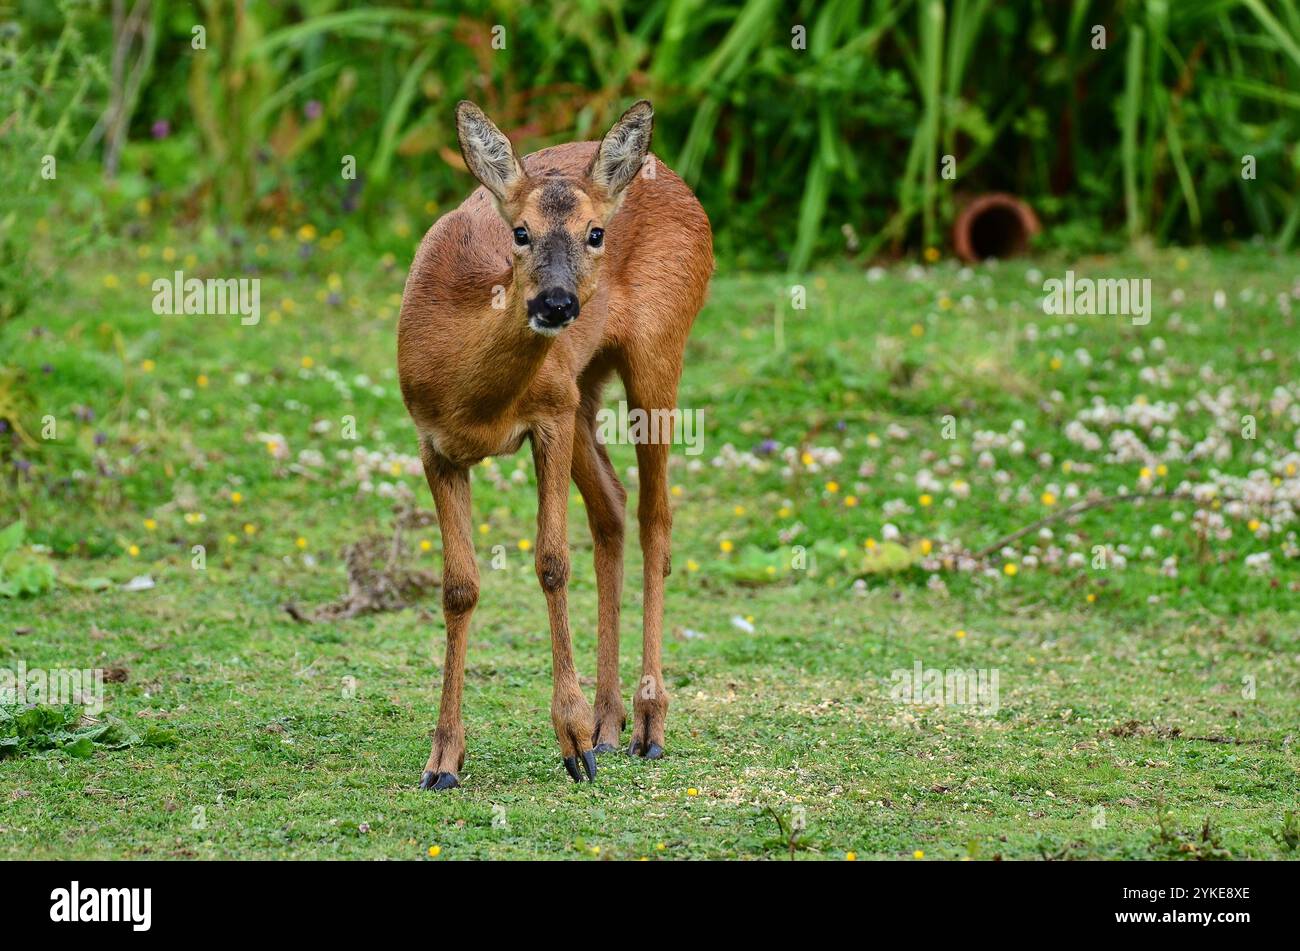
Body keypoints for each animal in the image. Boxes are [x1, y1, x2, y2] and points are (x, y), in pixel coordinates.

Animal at [400, 100, 717, 789]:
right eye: (519, 232)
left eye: (596, 234)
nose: (555, 303)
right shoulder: (434, 442)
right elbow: (458, 587)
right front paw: (443, 759)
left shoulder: (546, 416)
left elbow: (550, 563)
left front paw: (572, 742)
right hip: (583, 387)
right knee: (612, 506)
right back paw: (610, 721)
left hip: (658, 350)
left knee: (656, 516)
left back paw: (647, 723)